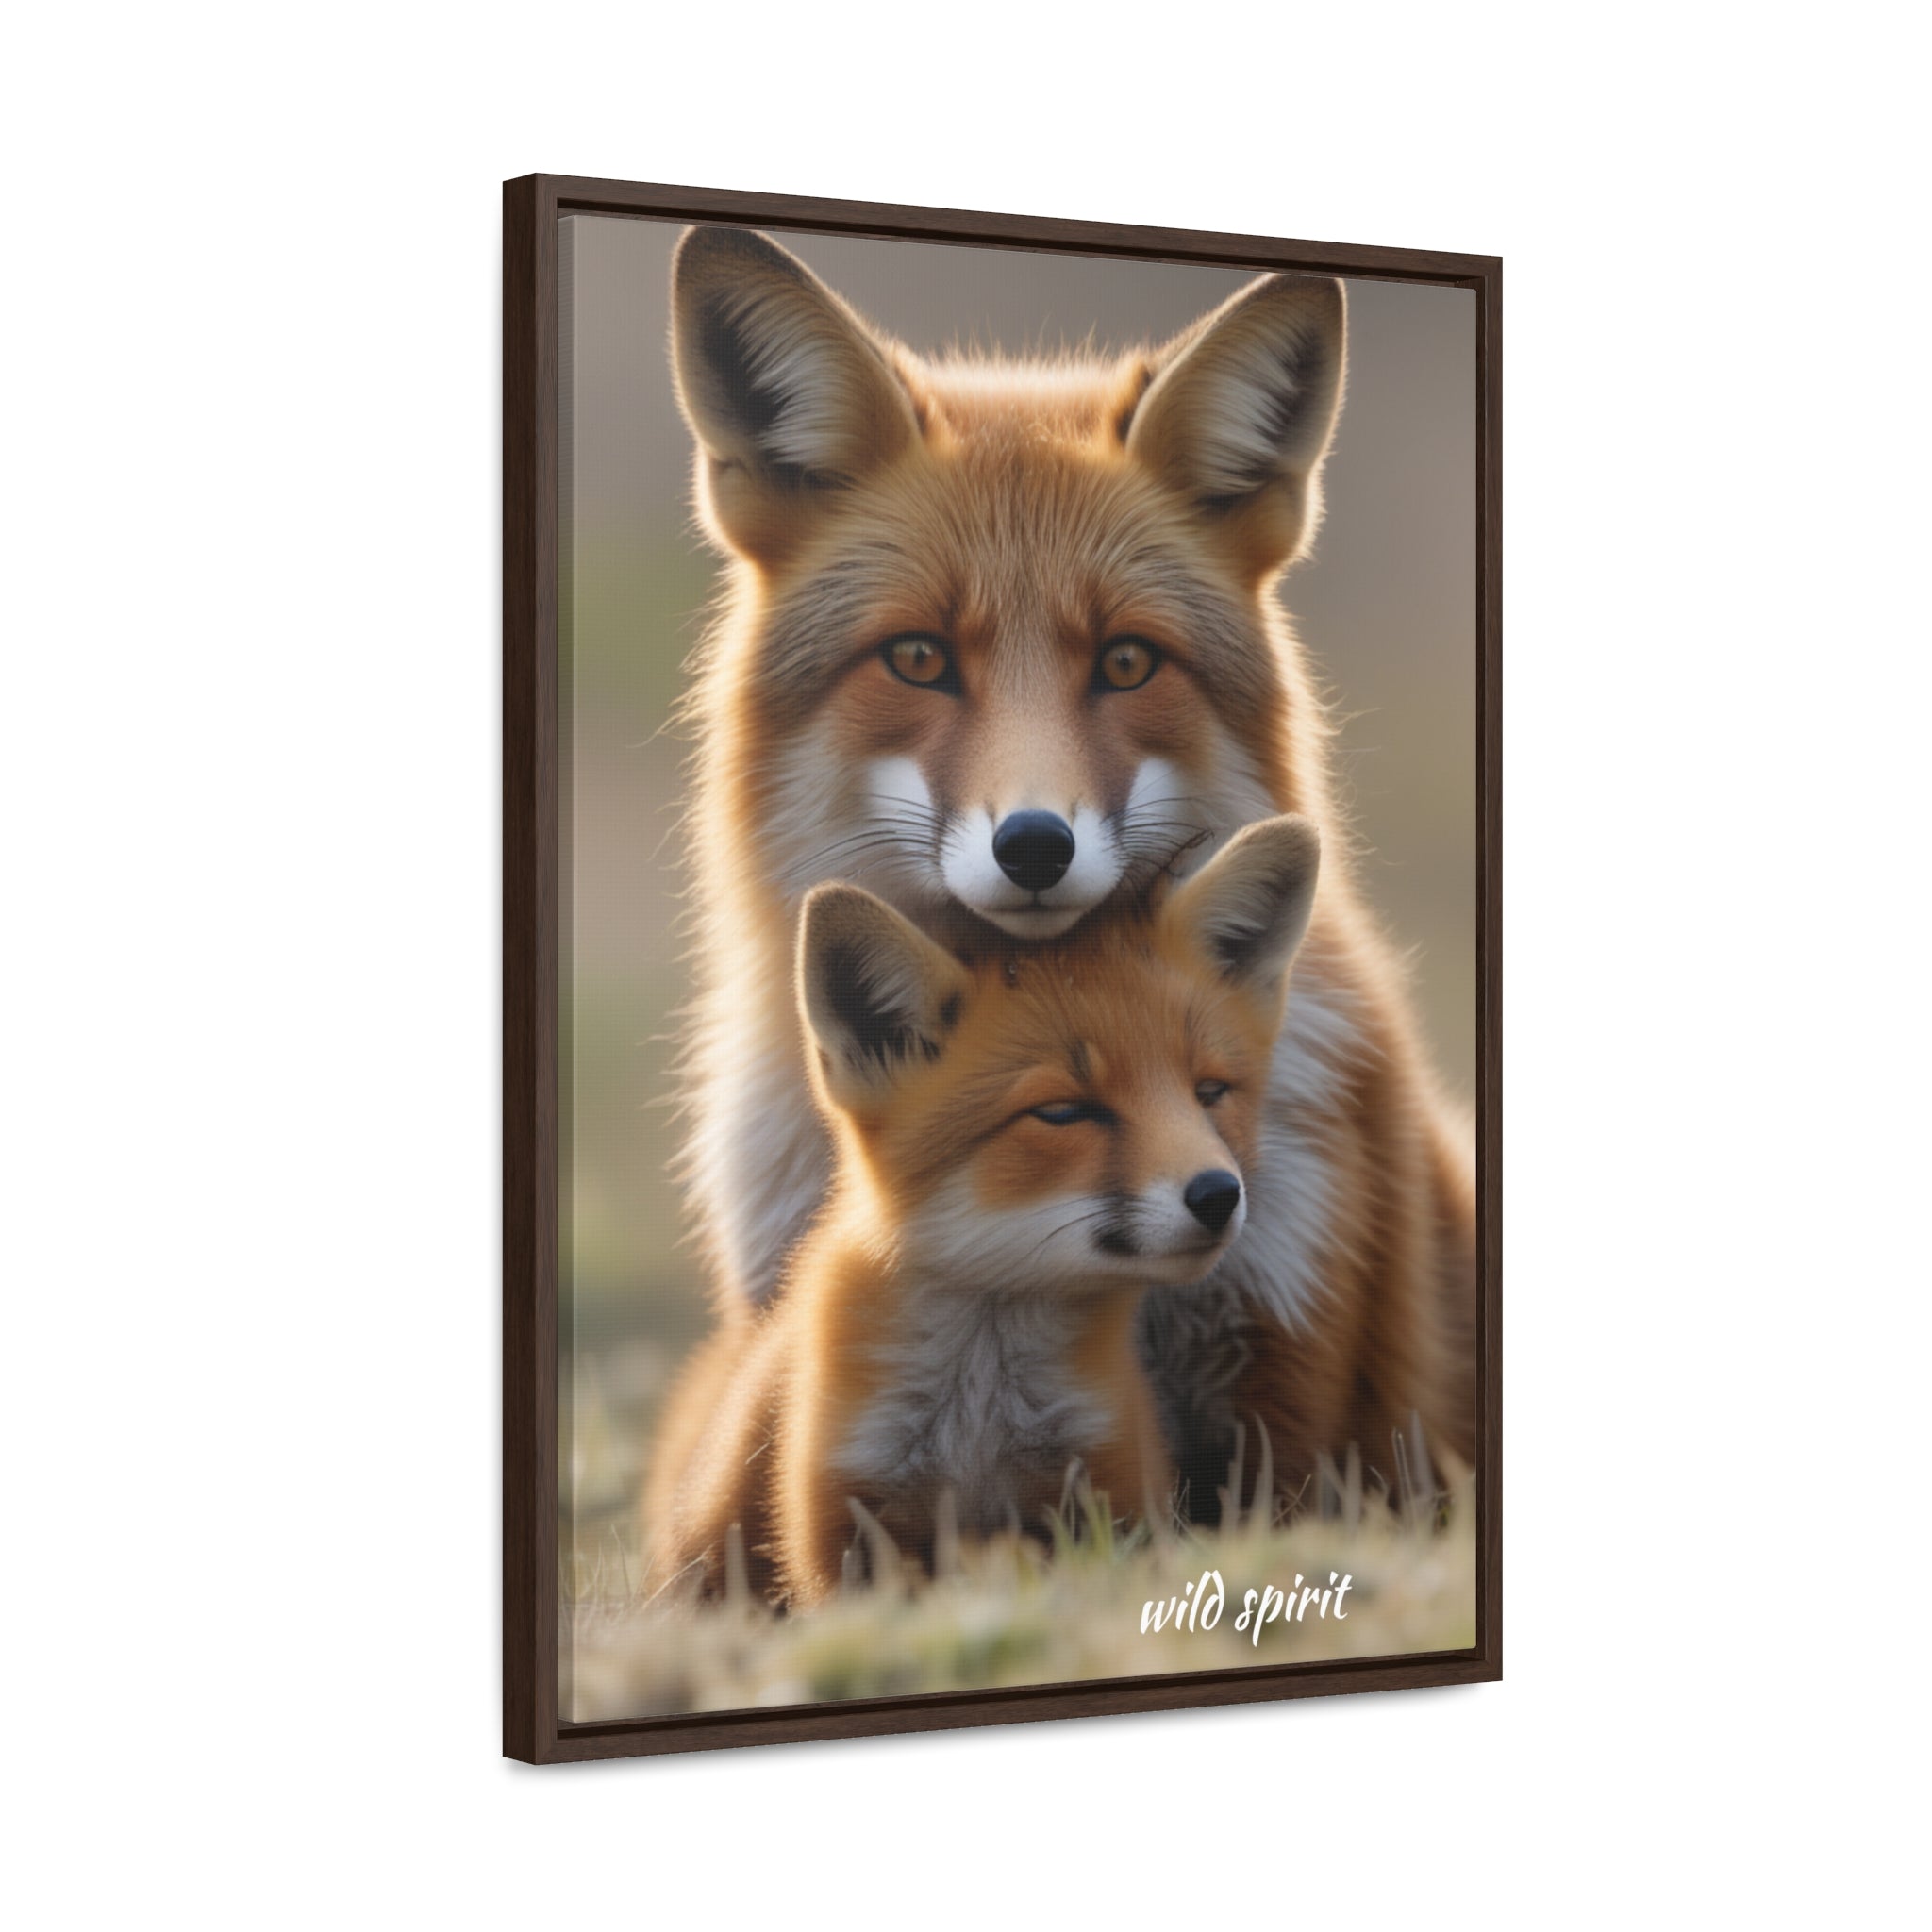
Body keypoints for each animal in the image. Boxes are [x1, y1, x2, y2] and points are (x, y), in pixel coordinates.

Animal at [646, 816, 1321, 1605]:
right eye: (1062, 1112)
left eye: (1210, 1093)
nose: (1218, 1194)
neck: (979, 1418)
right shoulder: (840, 1523)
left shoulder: (1110, 1488)